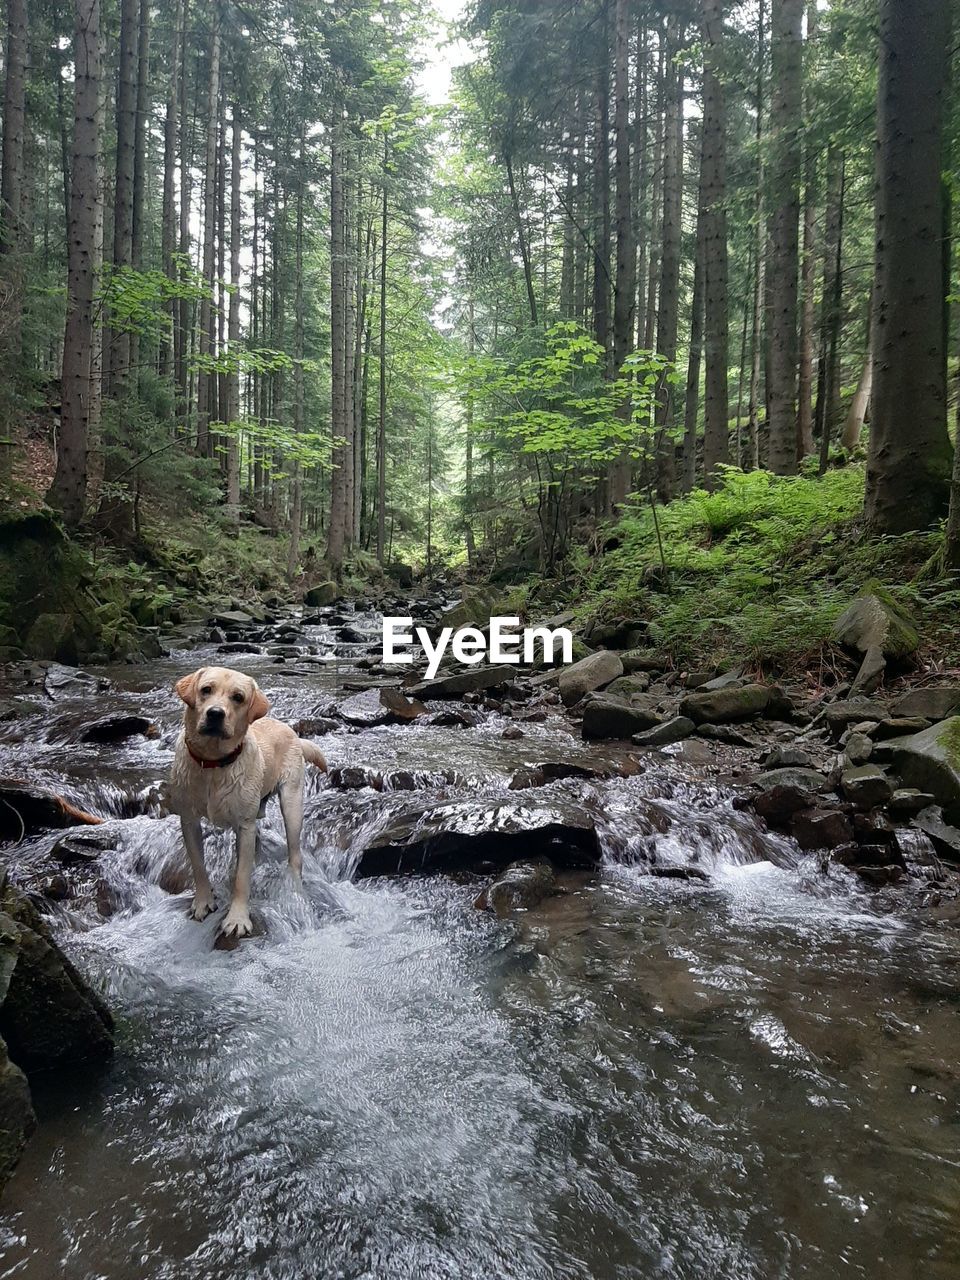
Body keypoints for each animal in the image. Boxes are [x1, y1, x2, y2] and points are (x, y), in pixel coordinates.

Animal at [168, 670, 327, 942]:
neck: (213, 763)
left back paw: (294, 886)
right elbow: (198, 865)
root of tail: (291, 731)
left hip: (291, 804)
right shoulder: (188, 820)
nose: (215, 714)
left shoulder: (244, 825)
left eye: (238, 697)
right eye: (206, 690)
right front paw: (203, 902)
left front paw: (237, 919)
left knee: (295, 854)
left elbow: (242, 878)